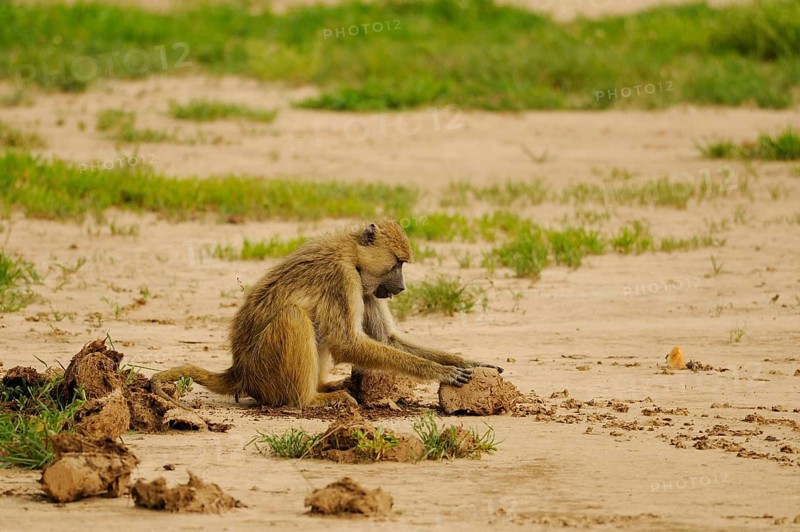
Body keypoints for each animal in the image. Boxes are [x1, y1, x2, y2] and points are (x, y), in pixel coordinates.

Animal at [151, 219, 502, 408]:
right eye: (398, 264)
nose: (401, 288)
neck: (353, 256)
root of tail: (239, 370)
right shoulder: (343, 279)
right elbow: (347, 343)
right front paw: (442, 372)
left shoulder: (367, 290)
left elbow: (388, 338)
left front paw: (470, 363)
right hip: (264, 371)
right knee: (294, 317)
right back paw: (310, 400)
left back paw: (326, 387)